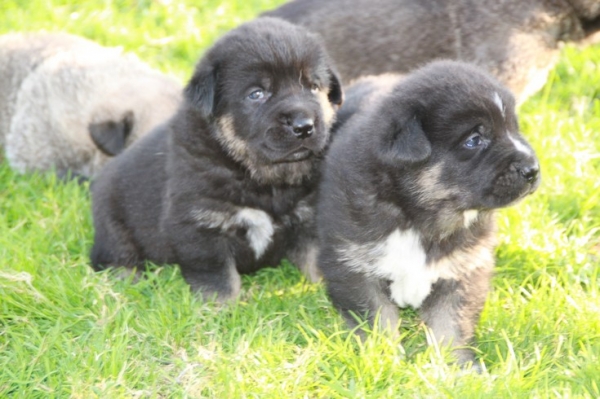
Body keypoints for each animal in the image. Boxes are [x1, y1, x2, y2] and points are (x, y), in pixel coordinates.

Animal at [89, 17, 342, 302]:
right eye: (257, 94)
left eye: (314, 87)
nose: (304, 126)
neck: (260, 178)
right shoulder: (200, 226)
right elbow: (218, 276)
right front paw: (221, 306)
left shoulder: (307, 216)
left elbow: (314, 257)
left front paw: (323, 292)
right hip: (112, 222)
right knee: (113, 255)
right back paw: (127, 280)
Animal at [318, 61, 540, 370]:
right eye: (474, 140)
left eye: (513, 128)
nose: (533, 170)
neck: (417, 217)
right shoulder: (355, 266)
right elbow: (378, 320)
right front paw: (384, 361)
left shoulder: (463, 270)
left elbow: (451, 325)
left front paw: (457, 368)